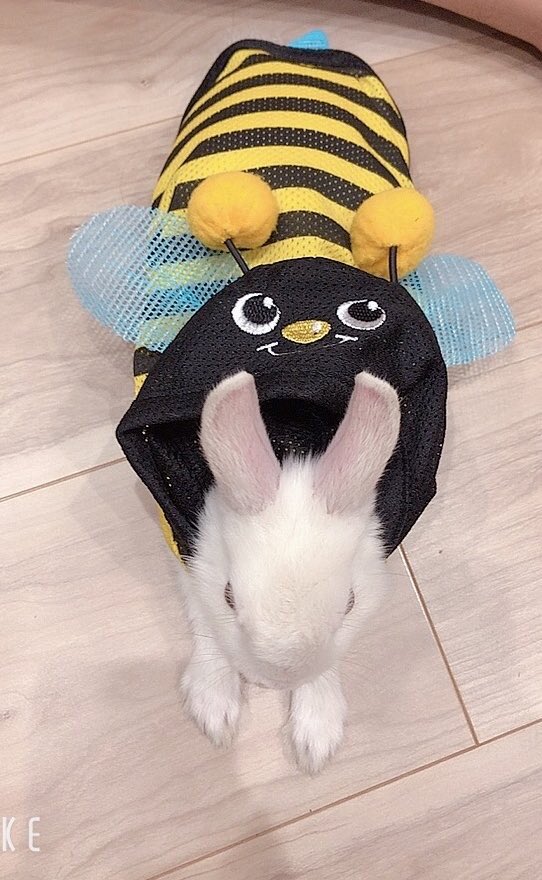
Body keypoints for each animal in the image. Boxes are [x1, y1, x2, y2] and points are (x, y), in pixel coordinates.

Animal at [178, 368, 401, 774]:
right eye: (228, 597)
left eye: (351, 603)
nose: (277, 680)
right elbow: (203, 618)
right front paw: (214, 710)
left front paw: (316, 738)